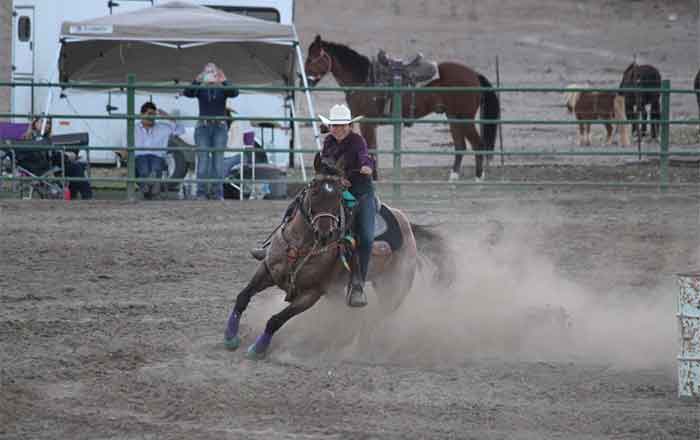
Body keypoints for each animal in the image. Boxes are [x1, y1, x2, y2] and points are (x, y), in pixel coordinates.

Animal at [222, 160, 453, 358]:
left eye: (338, 196)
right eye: (314, 190)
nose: (325, 233)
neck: (301, 245)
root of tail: (408, 227)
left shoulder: (312, 294)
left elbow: (276, 320)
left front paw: (258, 348)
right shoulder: (267, 271)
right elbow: (242, 297)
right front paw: (230, 337)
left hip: (394, 290)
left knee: (375, 318)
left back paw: (356, 346)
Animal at [304, 35, 500, 181]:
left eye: (312, 59)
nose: (302, 78)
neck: (364, 80)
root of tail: (474, 74)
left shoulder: (367, 122)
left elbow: (370, 149)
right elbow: (372, 149)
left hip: (464, 117)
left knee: (478, 144)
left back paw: (478, 179)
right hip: (453, 117)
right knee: (460, 146)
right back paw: (453, 178)